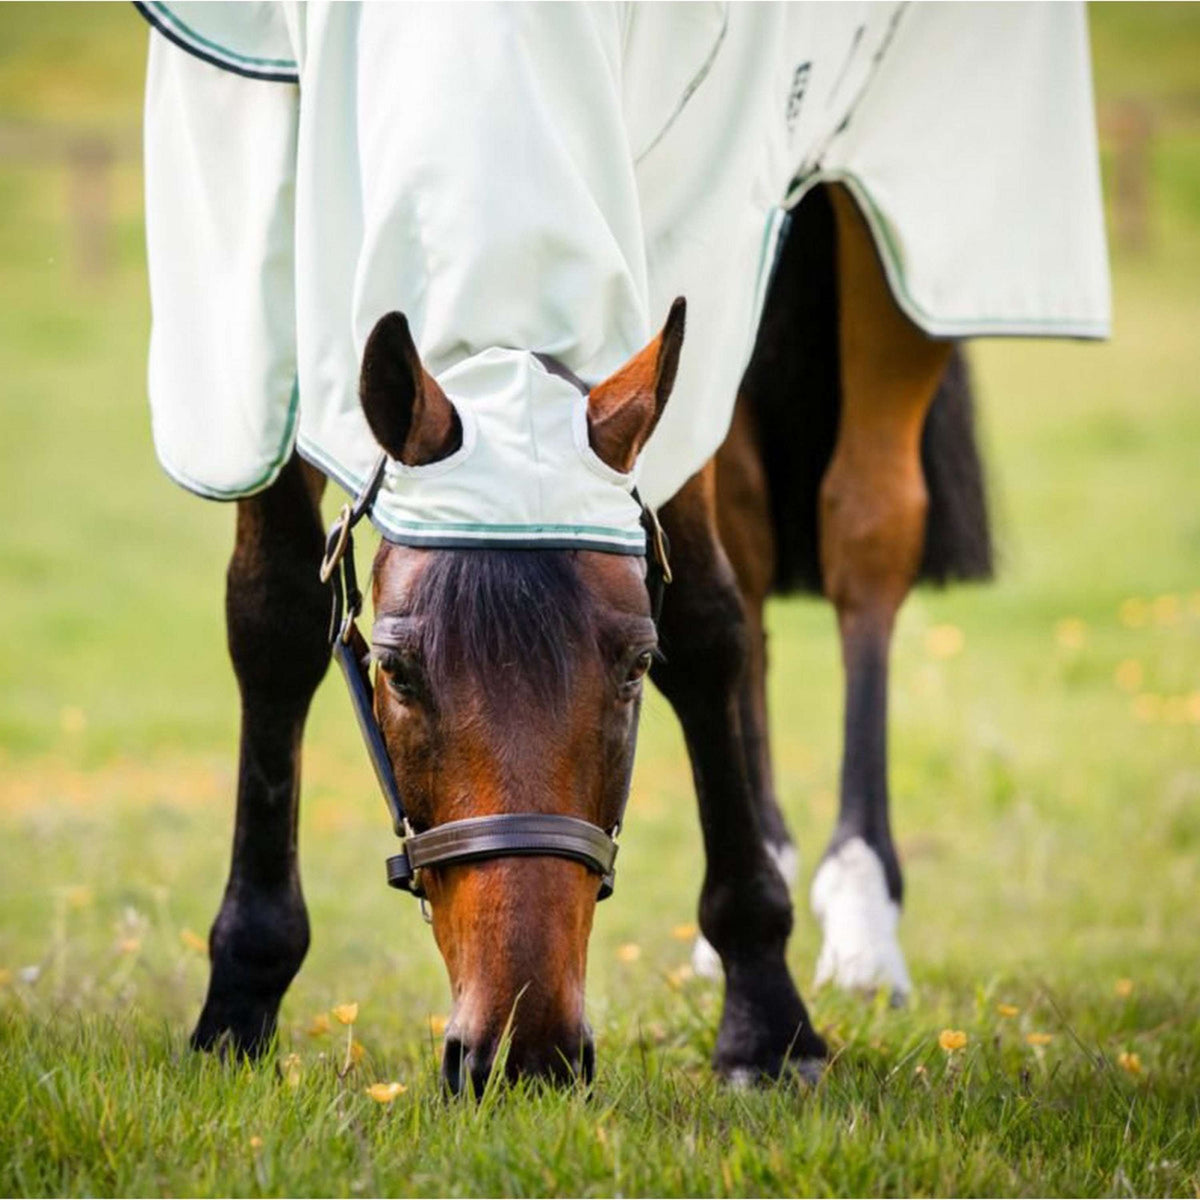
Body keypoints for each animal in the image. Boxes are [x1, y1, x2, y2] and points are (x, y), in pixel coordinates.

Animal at [192, 182, 988, 1094]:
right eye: (395, 669)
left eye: (638, 664)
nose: (524, 1052)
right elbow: (273, 616)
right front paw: (238, 1000)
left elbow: (706, 626)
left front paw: (767, 1023)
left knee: (866, 531)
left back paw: (861, 917)